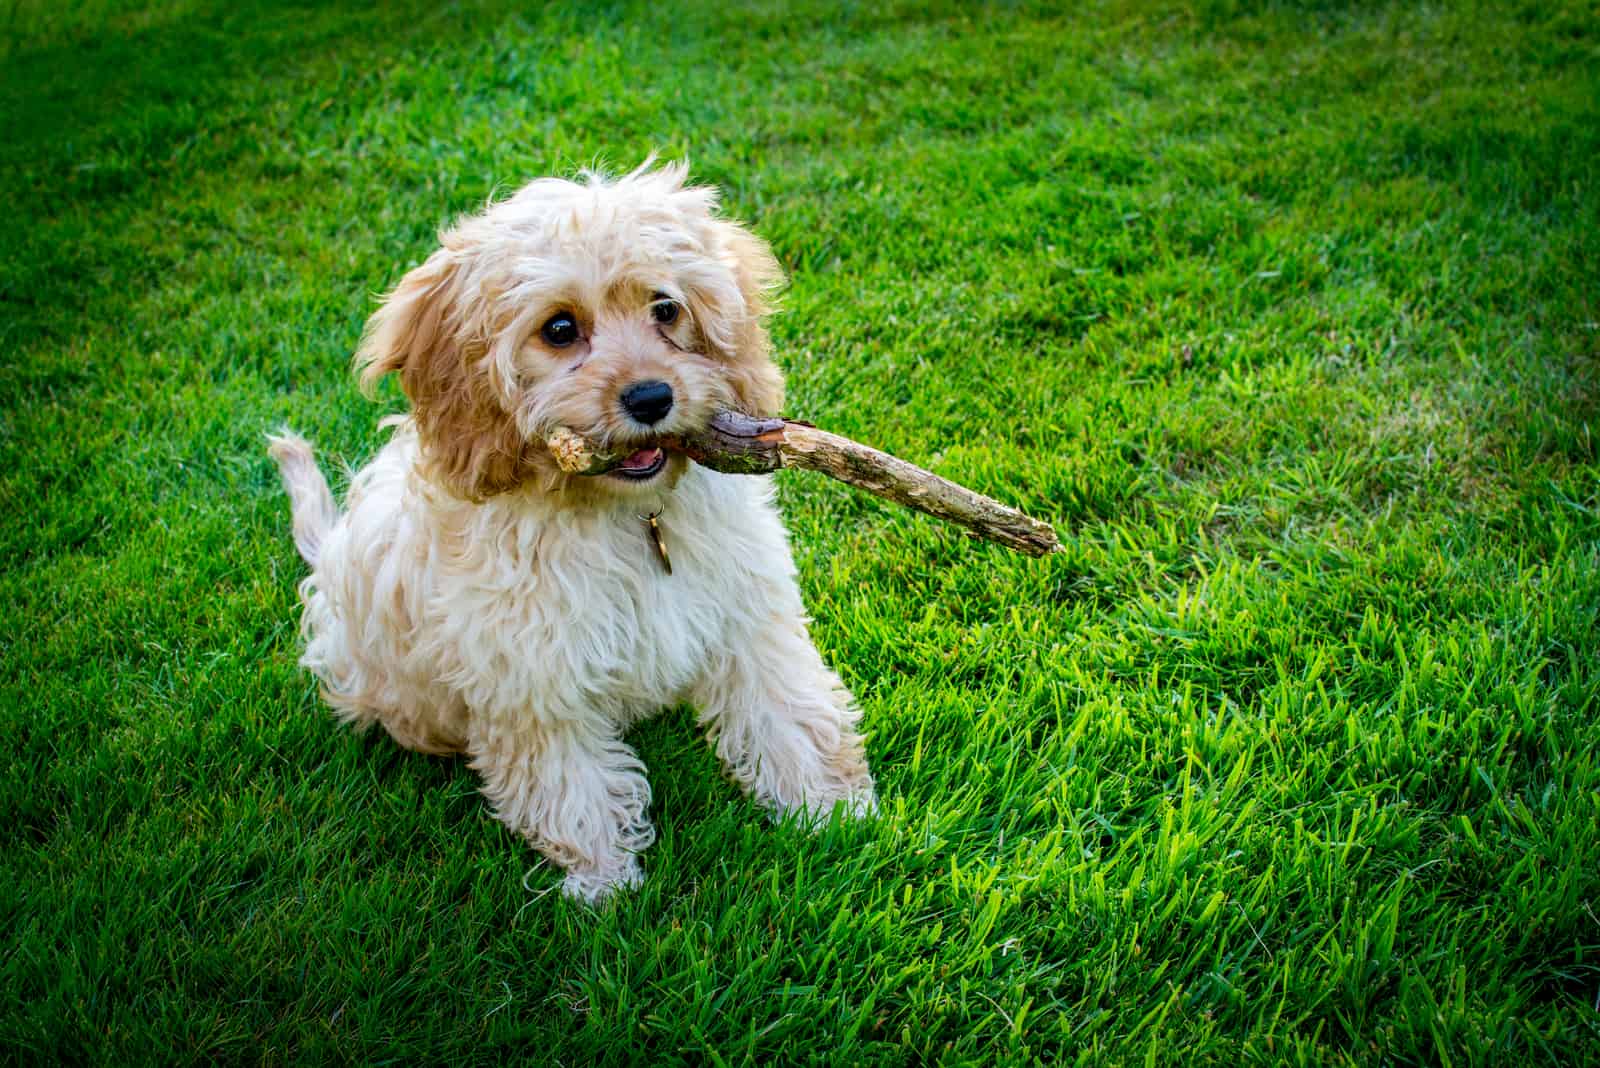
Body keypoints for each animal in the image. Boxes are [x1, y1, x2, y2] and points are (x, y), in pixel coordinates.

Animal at [272, 163, 876, 901]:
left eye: (665, 309)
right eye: (560, 328)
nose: (651, 397)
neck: (630, 516)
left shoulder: (744, 612)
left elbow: (788, 707)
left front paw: (833, 813)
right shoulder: (531, 679)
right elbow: (569, 784)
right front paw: (604, 885)